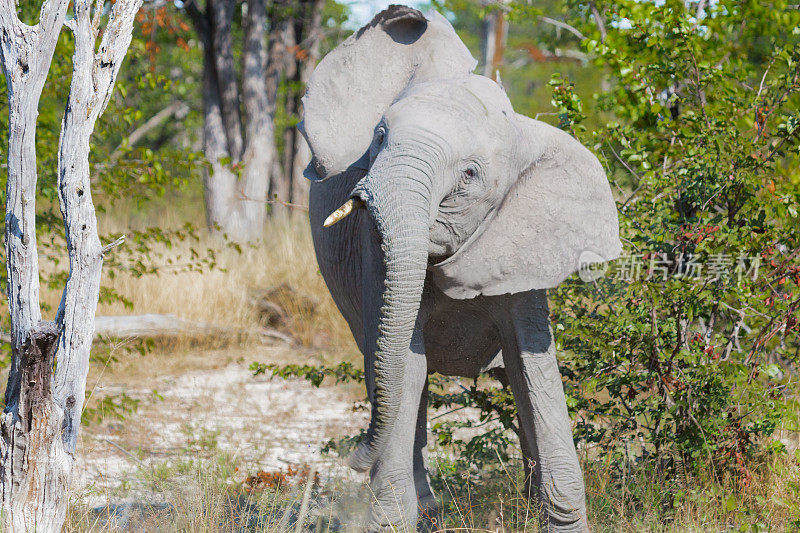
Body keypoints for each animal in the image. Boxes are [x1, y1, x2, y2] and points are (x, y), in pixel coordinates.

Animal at [300, 5, 620, 532]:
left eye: (470, 175)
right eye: (379, 139)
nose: (354, 457)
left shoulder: (521, 242)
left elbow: (533, 365)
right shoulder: (372, 247)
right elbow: (406, 365)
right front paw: (393, 518)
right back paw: (429, 510)